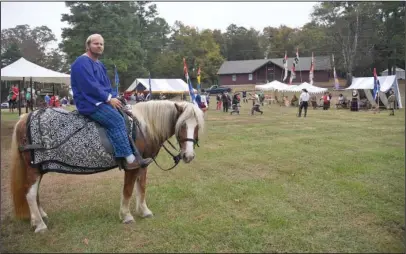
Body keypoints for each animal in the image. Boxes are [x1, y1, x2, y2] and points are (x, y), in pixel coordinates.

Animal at [9, 100, 205, 233]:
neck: (141, 127)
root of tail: (25, 118)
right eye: (181, 125)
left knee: (35, 193)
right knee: (30, 194)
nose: (188, 156)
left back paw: (40, 217)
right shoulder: (132, 167)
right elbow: (128, 190)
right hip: (33, 169)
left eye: (197, 126)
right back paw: (40, 224)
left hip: (39, 168)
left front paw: (144, 211)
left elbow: (141, 188)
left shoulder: (143, 166)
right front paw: (126, 215)